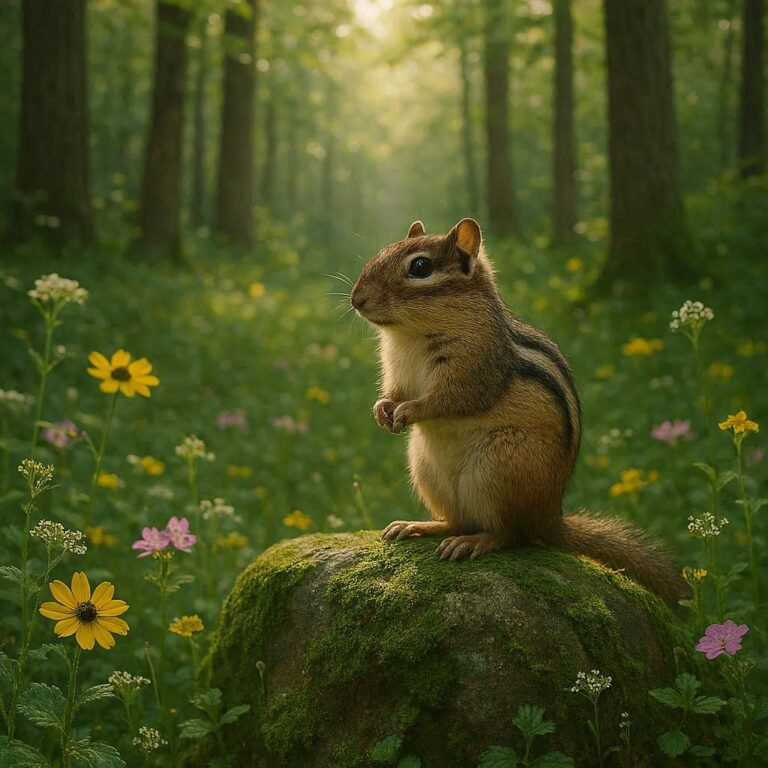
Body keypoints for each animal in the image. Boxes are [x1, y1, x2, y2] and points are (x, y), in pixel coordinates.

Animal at [350, 217, 686, 606]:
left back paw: (475, 542)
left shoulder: (476, 369)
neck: (408, 335)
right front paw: (382, 410)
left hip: (499, 468)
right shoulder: (397, 371)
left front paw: (408, 412)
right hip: (427, 471)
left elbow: (450, 400)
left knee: (512, 535)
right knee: (460, 521)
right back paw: (420, 526)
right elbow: (394, 393)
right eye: (382, 252)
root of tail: (550, 517)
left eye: (420, 267)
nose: (356, 300)